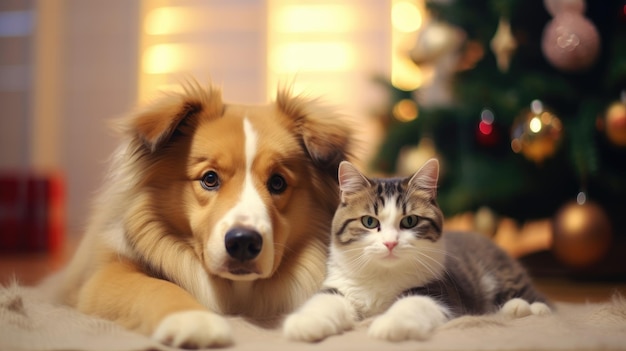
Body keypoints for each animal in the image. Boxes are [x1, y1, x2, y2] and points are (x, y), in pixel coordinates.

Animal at [49, 82, 352, 350]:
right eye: (209, 178)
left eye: (278, 183)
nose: (243, 242)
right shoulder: (104, 274)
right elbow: (154, 286)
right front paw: (193, 320)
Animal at [280, 160, 548, 344]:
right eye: (369, 221)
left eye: (409, 221)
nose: (390, 243)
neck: (382, 276)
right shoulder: (341, 286)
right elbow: (323, 302)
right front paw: (304, 324)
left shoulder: (439, 293)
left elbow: (411, 304)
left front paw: (388, 325)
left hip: (503, 275)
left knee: (539, 300)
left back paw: (522, 309)